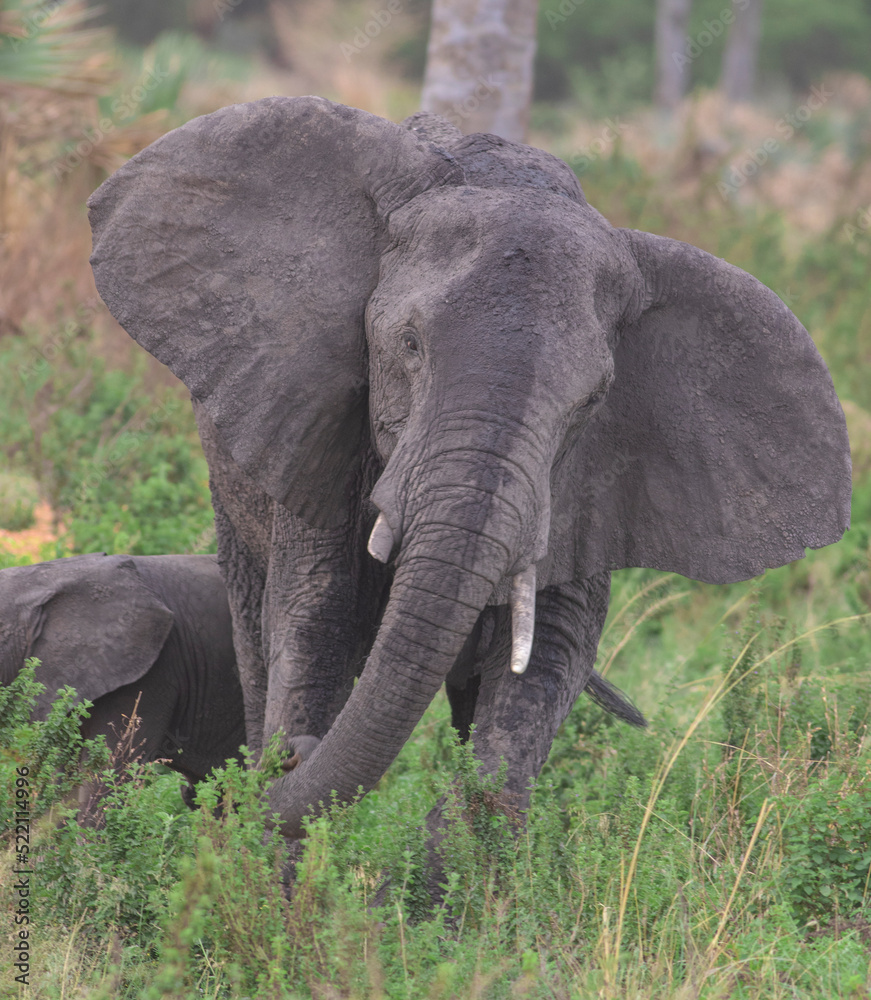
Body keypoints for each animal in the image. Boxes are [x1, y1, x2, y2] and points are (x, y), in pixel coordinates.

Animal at [87, 97, 851, 842]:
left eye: (592, 400)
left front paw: (457, 851)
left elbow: (543, 660)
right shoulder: (320, 439)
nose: (294, 757)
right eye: (408, 345)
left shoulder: (586, 488)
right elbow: (314, 623)